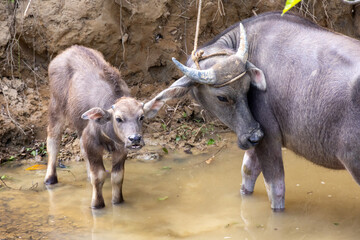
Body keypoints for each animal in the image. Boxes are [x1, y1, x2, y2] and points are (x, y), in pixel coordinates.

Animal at [145, 11, 360, 210]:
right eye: (223, 97)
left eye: (247, 88)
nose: (254, 135)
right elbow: (247, 171)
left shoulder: (270, 138)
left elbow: (275, 188)